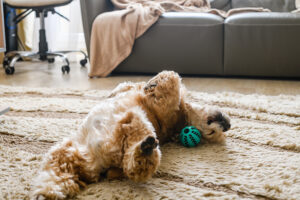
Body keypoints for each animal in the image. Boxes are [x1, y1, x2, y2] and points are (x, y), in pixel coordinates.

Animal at [31, 71, 231, 199]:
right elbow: (126, 86)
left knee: (134, 167)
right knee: (56, 177)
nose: (227, 125)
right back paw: (45, 194)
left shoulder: (164, 104)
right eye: (212, 132)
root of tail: (99, 163)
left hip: (131, 127)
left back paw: (145, 150)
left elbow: (170, 78)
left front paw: (153, 83)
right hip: (63, 156)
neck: (181, 119)